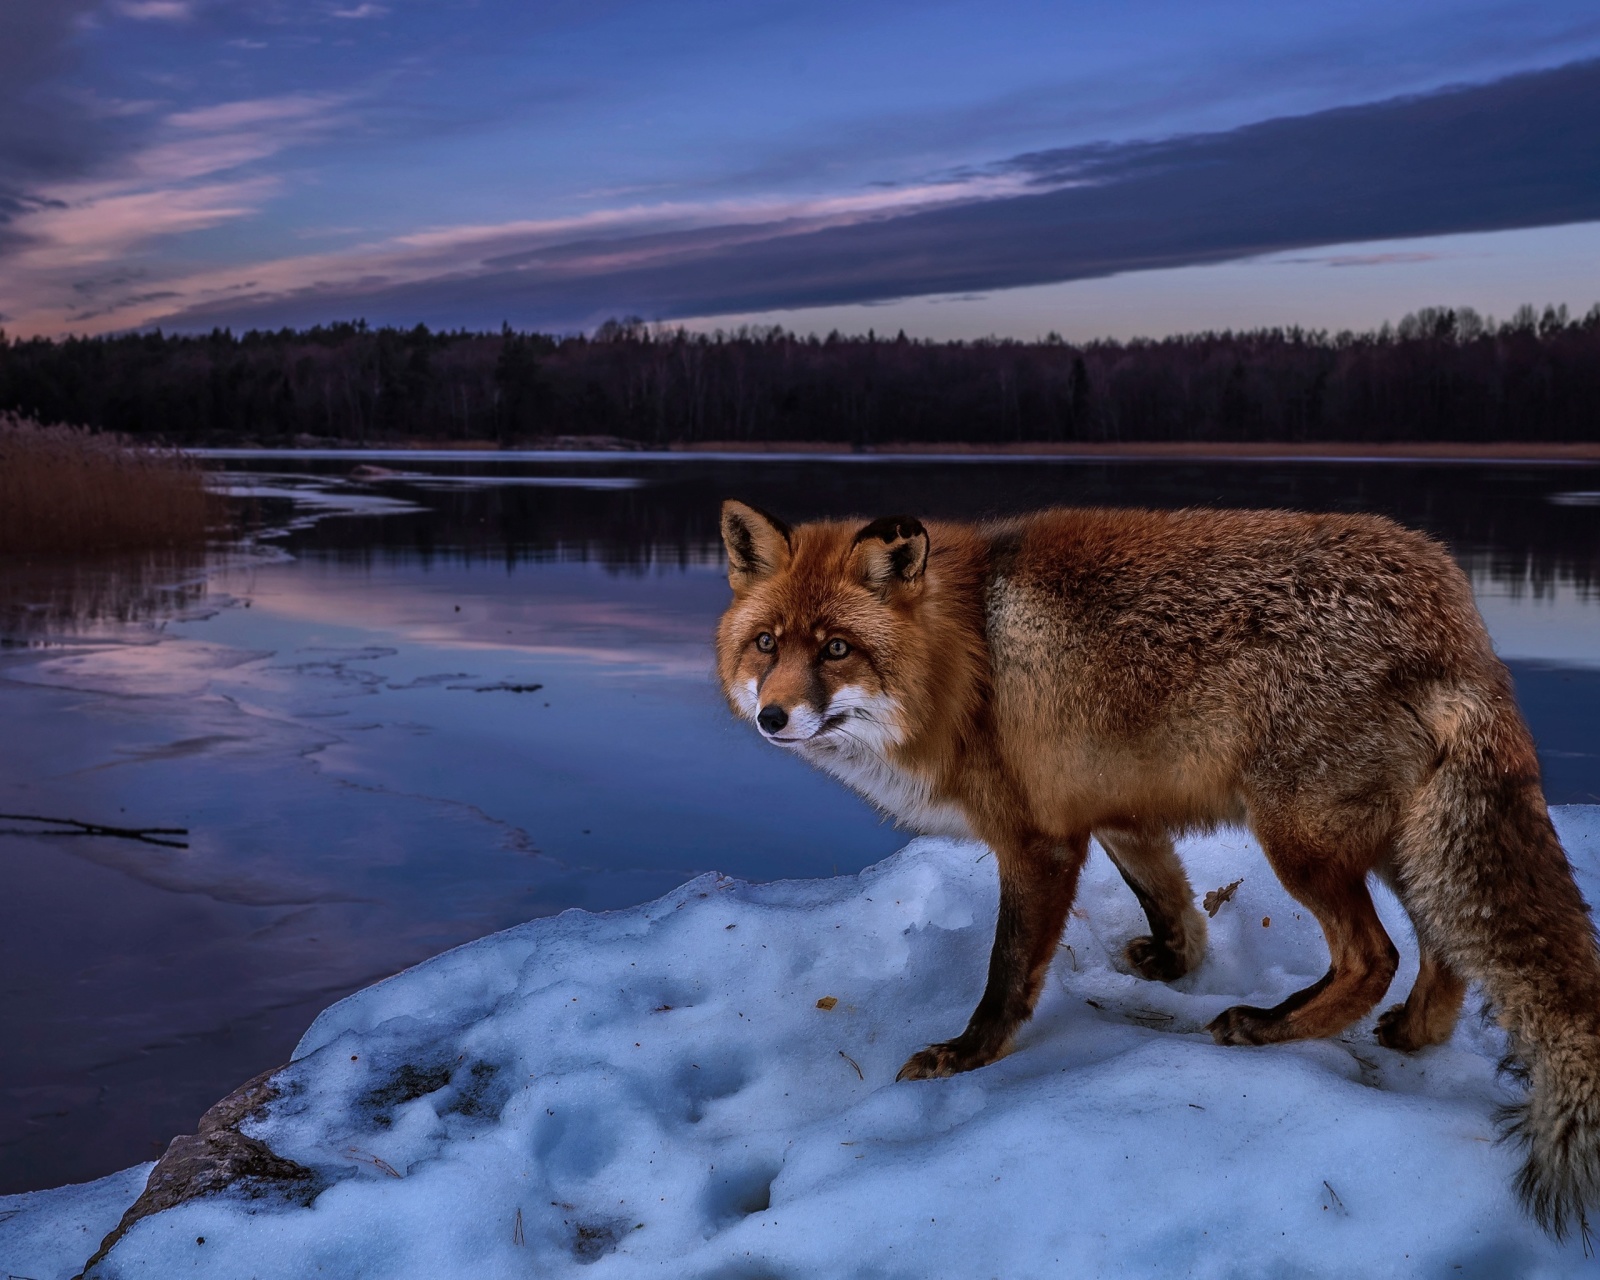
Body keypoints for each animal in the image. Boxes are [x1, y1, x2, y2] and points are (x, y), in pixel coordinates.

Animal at [720, 499, 1600, 1241]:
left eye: (837, 649)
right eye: (767, 644)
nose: (772, 716)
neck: (967, 661)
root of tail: (1448, 602)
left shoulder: (1036, 843)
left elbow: (1007, 975)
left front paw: (968, 1056)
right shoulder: (1116, 813)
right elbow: (1170, 901)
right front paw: (1175, 965)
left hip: (1301, 843)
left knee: (1374, 956)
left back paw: (1268, 1028)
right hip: (1398, 840)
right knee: (1443, 949)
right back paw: (1413, 1034)